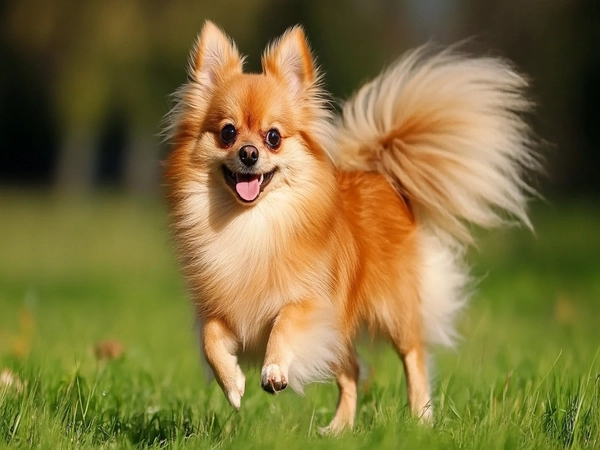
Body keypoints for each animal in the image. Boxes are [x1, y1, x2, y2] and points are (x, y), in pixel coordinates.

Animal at [164, 21, 540, 432]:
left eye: (273, 137)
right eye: (228, 133)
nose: (249, 153)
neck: (252, 224)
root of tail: (383, 176)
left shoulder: (314, 304)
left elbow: (284, 320)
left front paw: (274, 370)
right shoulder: (219, 310)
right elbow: (210, 341)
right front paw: (232, 383)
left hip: (393, 312)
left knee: (414, 357)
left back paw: (421, 419)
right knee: (352, 373)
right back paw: (339, 429)